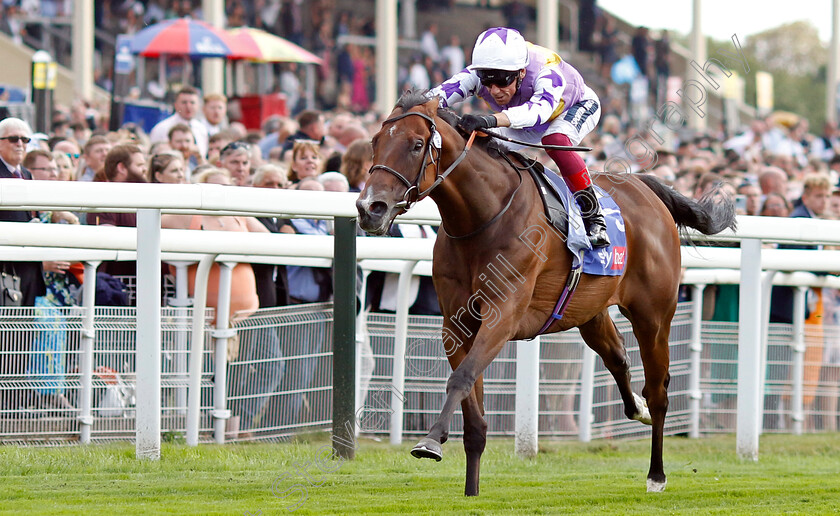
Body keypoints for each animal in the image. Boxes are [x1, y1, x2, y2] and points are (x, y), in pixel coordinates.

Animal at [354, 91, 736, 496]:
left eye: (416, 145)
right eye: (375, 142)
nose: (369, 208)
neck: (481, 216)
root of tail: (647, 189)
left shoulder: (502, 316)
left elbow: (460, 378)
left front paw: (430, 442)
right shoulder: (455, 324)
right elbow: (473, 412)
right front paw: (470, 489)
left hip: (654, 316)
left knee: (659, 390)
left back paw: (656, 474)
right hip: (589, 311)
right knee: (618, 357)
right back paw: (636, 410)